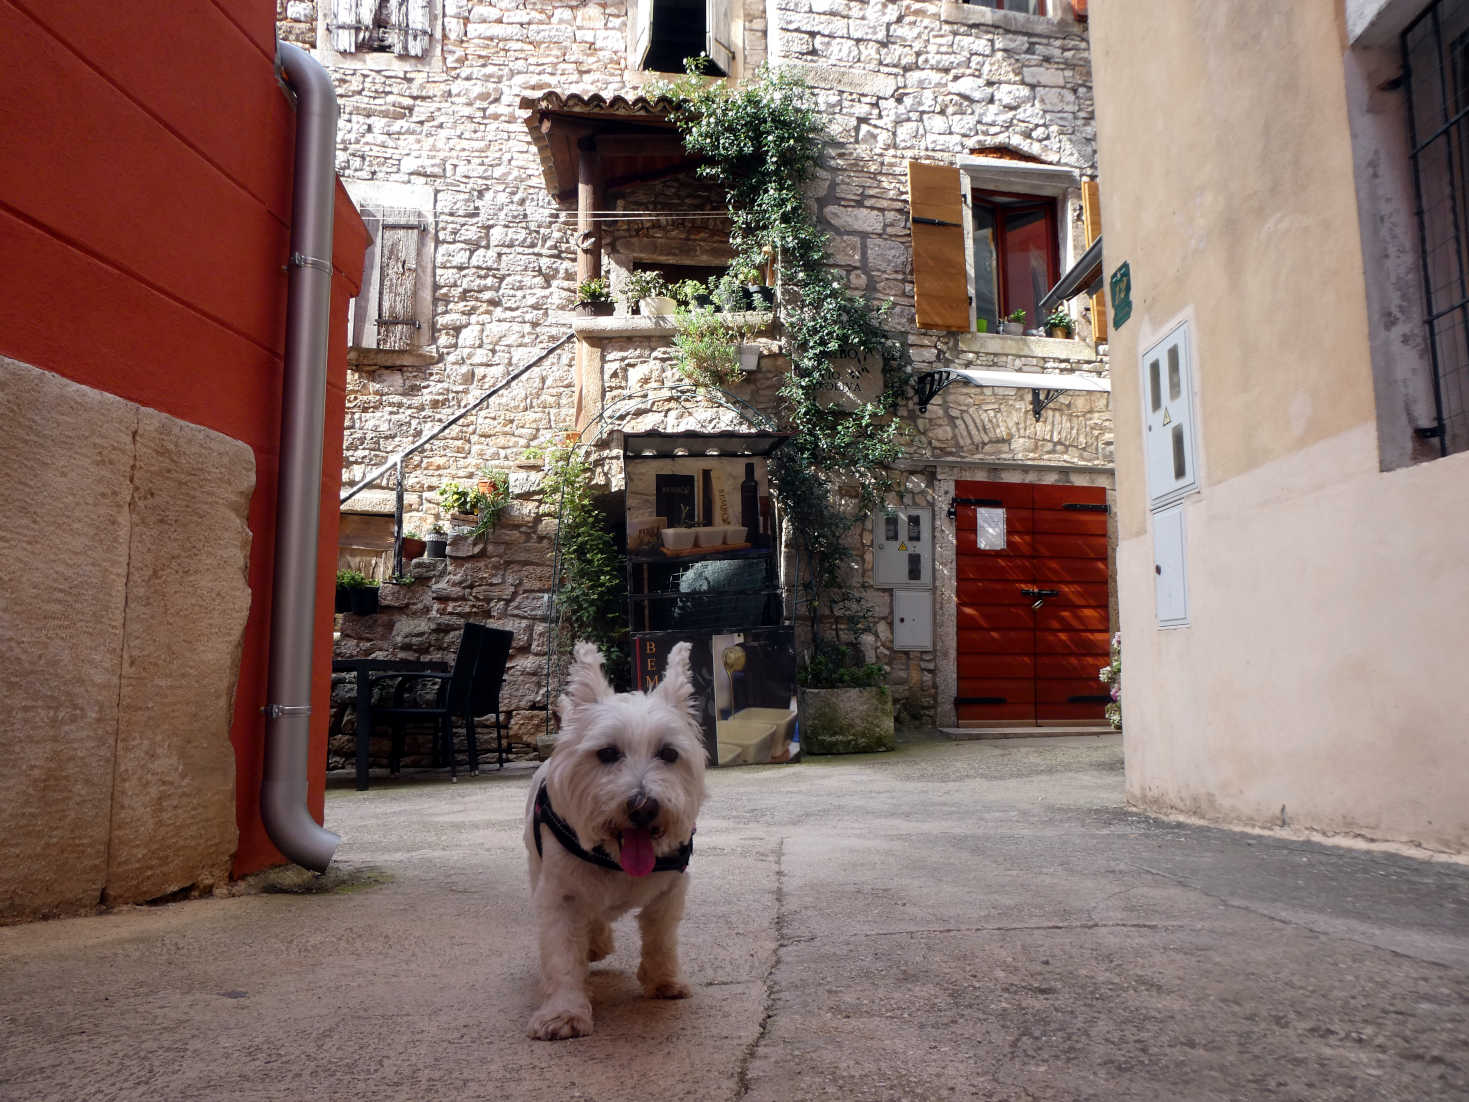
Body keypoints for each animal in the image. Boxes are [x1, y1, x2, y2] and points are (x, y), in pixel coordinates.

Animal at [525, 643, 708, 1040]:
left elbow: (661, 939)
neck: (614, 857)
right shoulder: (559, 896)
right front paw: (563, 1012)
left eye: (669, 753)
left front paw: (664, 981)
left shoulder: (670, 891)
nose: (643, 807)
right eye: (607, 753)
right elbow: (562, 953)